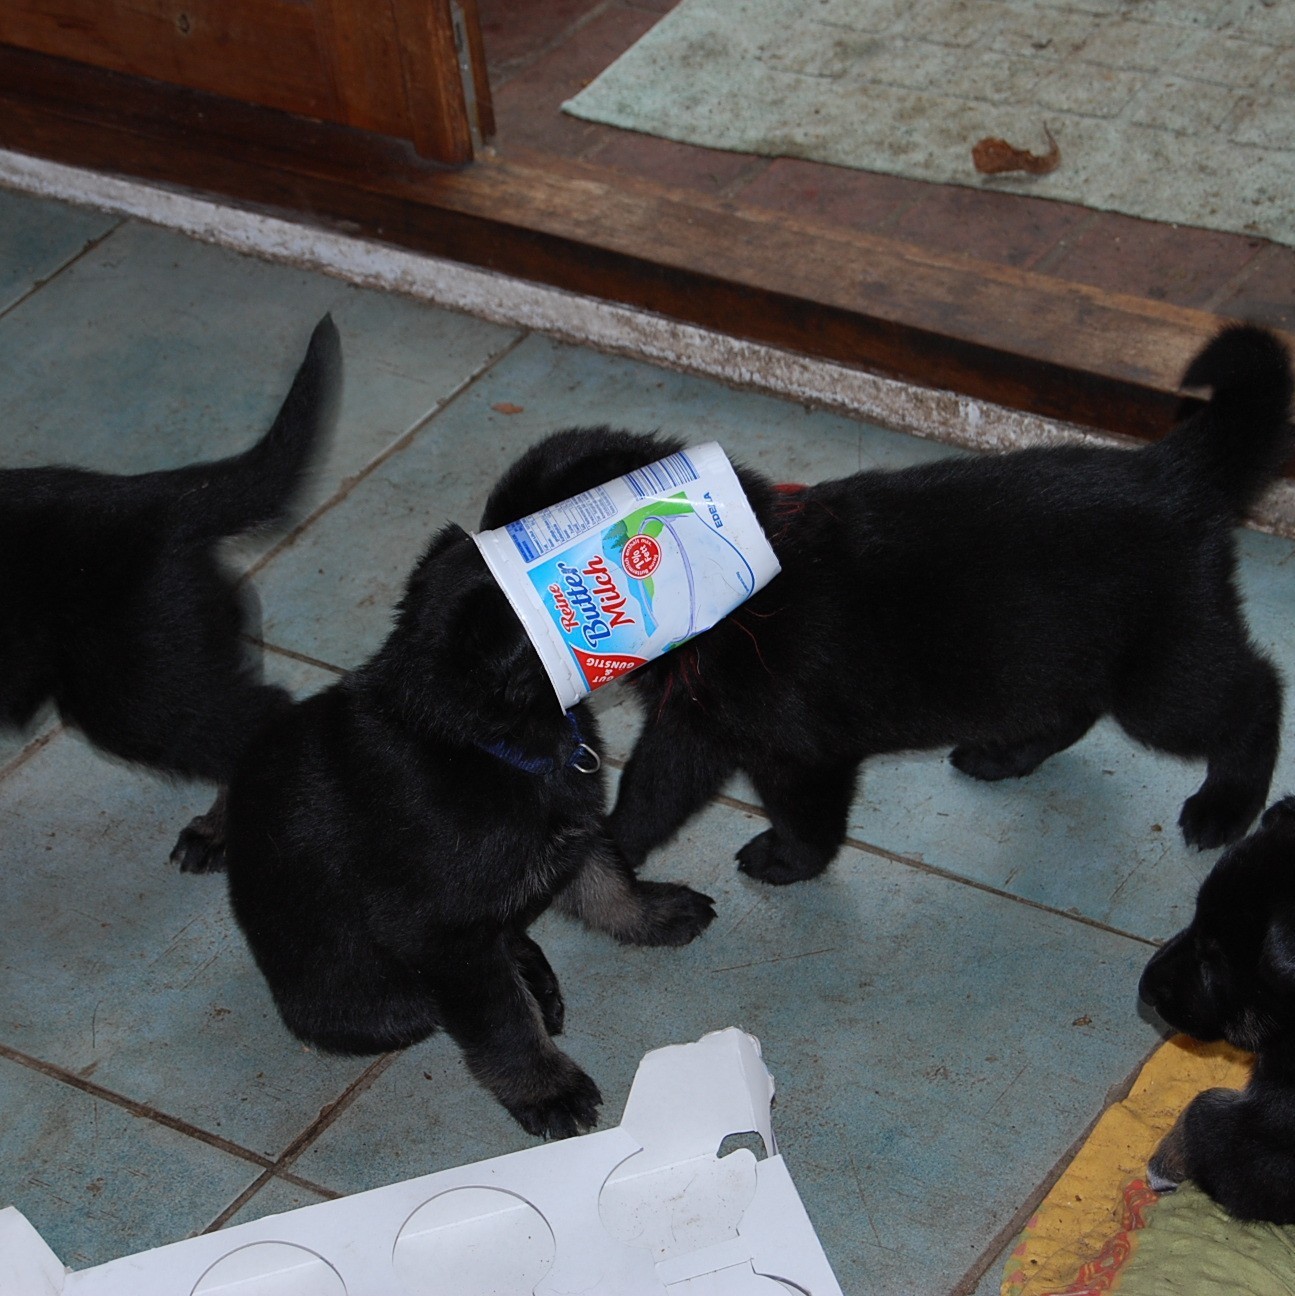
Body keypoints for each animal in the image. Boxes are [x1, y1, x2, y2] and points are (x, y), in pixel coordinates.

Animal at [222, 522, 716, 1138]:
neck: (476, 743)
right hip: (367, 1004)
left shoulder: (578, 829)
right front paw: (548, 1089)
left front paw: (657, 913)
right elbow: (503, 1020)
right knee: (420, 1004)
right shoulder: (438, 937)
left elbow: (612, 885)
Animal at [480, 324, 1294, 885]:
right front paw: (609, 855)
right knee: (1070, 709)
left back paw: (1227, 804)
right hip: (1051, 657)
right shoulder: (696, 724)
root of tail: (1171, 471)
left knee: (1254, 694)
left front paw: (786, 862)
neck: (732, 593)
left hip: (1161, 674)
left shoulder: (796, 752)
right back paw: (1004, 754)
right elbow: (650, 793)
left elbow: (806, 822)